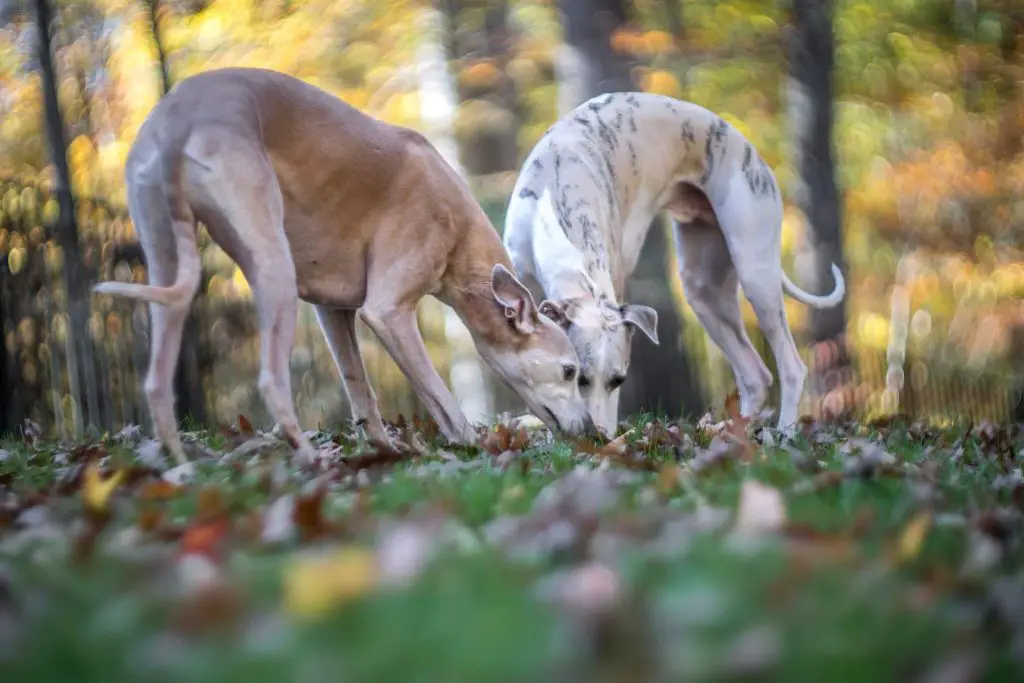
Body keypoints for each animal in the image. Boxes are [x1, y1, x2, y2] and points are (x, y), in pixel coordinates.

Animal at [503, 92, 847, 432]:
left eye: (618, 380)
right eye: (579, 377)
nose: (600, 439)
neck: (553, 201)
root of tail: (751, 152)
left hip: (755, 272)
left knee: (792, 366)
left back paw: (785, 433)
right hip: (704, 291)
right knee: (756, 376)